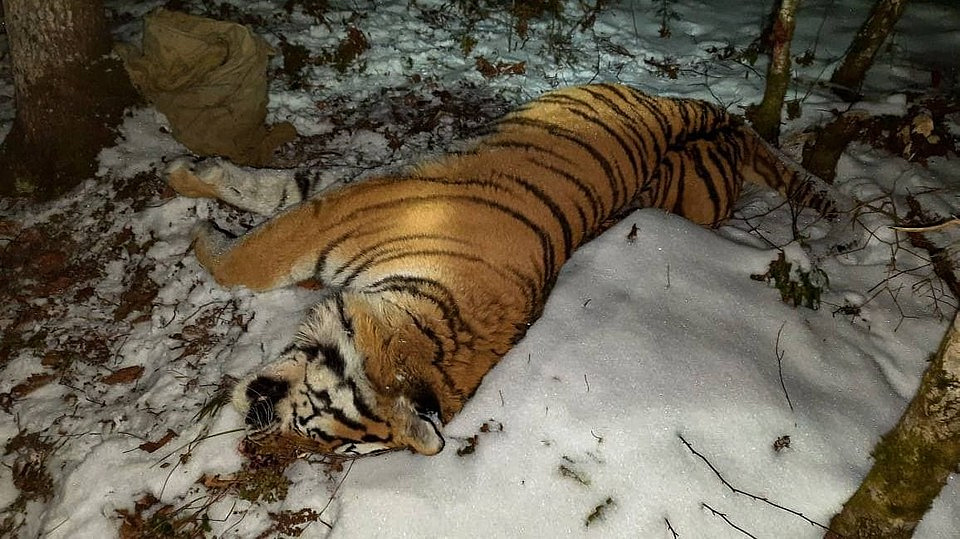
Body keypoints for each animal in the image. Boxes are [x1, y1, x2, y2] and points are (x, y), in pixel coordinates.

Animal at [165, 82, 832, 458]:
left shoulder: (330, 215)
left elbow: (257, 236)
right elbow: (263, 219)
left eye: (310, 430)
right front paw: (189, 188)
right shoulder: (335, 205)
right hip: (668, 106)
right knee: (729, 117)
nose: (253, 419)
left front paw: (196, 218)